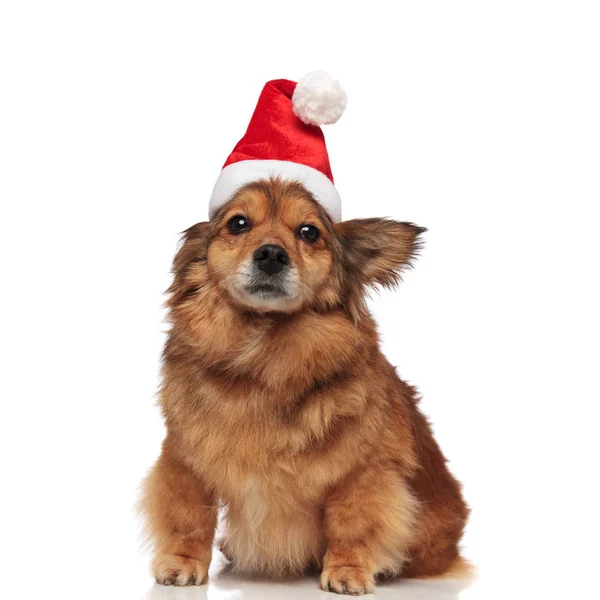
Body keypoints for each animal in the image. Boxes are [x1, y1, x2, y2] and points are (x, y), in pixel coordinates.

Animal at [141, 177, 468, 596]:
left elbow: (352, 523)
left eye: (309, 232)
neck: (263, 359)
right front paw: (182, 562)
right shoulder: (186, 461)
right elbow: (188, 515)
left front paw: (348, 570)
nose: (271, 254)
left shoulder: (362, 473)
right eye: (238, 224)